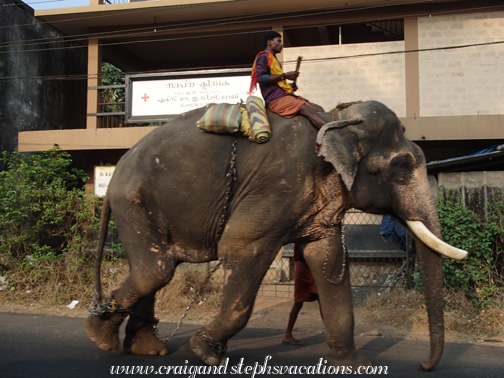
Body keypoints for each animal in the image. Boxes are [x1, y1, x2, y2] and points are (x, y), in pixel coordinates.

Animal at [84, 99, 466, 372]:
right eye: (402, 168)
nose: (424, 365)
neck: (332, 119)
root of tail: (116, 170)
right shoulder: (279, 186)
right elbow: (241, 245)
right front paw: (206, 352)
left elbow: (327, 258)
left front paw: (355, 366)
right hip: (134, 202)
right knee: (156, 269)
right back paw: (100, 337)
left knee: (157, 268)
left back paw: (145, 349)